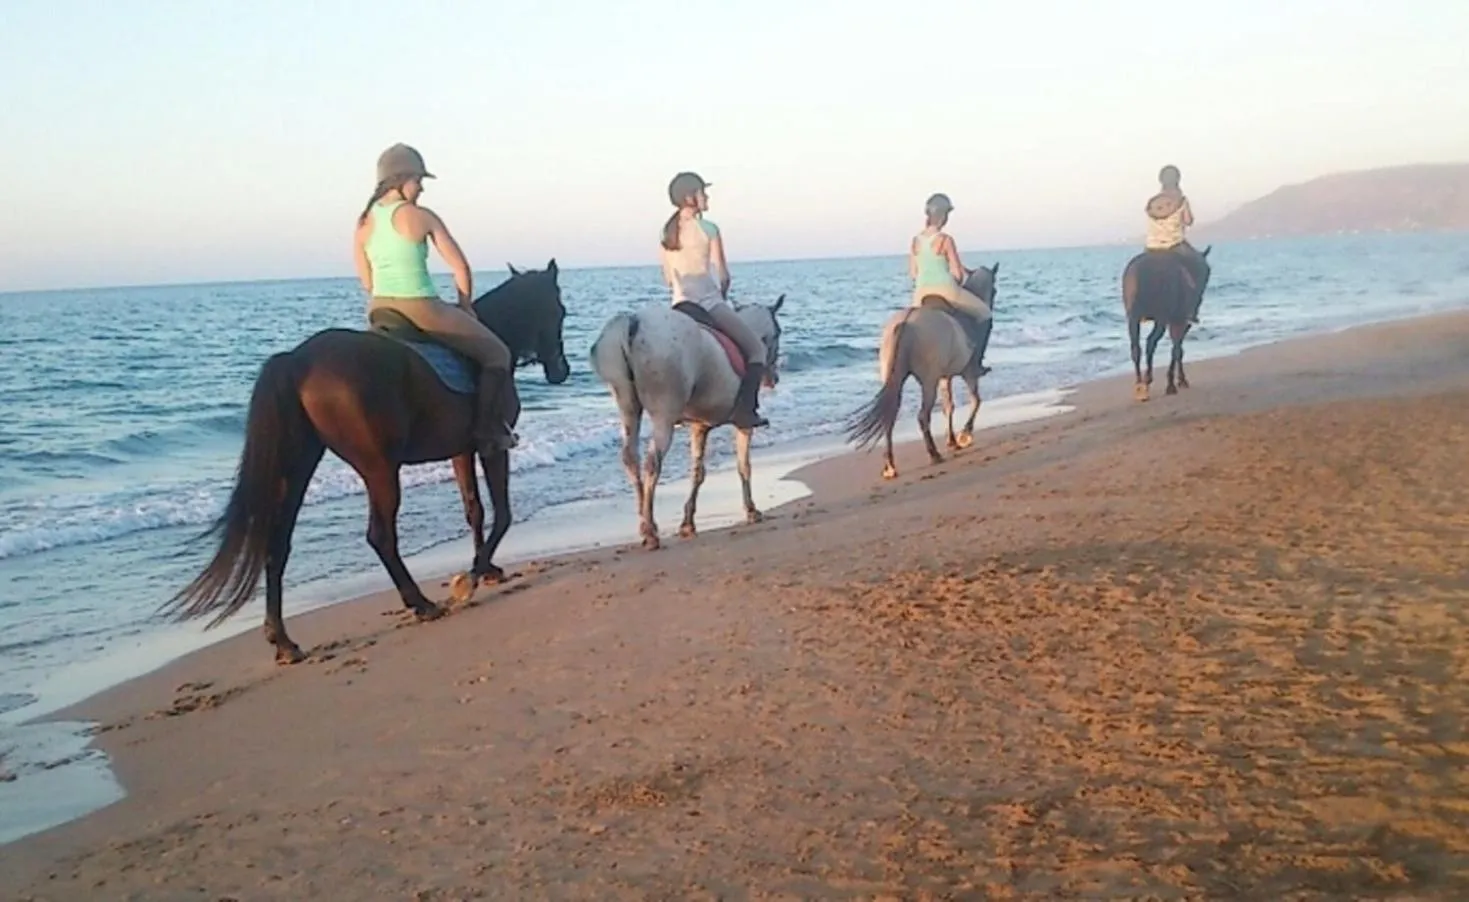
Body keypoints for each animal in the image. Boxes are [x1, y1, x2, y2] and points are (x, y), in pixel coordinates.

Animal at [161, 260, 571, 665]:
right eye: (561, 310)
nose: (561, 370)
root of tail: (298, 360)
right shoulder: (493, 447)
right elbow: (502, 513)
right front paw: (469, 578)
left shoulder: (461, 450)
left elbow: (475, 510)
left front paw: (486, 569)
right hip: (379, 469)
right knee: (380, 535)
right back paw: (420, 603)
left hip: (297, 470)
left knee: (278, 543)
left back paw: (283, 640)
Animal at [588, 296, 786, 550]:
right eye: (777, 332)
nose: (773, 379)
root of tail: (633, 322)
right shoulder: (742, 426)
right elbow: (743, 466)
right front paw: (751, 510)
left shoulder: (699, 426)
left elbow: (697, 472)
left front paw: (688, 522)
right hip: (663, 414)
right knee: (652, 463)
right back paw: (650, 531)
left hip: (627, 407)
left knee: (631, 458)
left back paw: (644, 523)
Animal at [845, 265, 999, 480]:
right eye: (994, 290)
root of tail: (906, 321)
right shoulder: (967, 374)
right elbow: (975, 401)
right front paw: (964, 435)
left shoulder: (944, 377)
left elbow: (949, 406)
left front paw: (952, 440)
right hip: (928, 382)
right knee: (922, 416)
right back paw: (933, 454)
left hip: (896, 379)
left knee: (890, 417)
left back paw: (890, 465)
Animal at [1121, 245, 1212, 400]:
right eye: (1207, 272)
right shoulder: (1180, 321)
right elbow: (1177, 350)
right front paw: (1174, 383)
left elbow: (1177, 349)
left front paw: (1178, 380)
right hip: (1161, 318)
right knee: (1150, 343)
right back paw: (1148, 378)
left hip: (1133, 318)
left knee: (1136, 348)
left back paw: (1140, 386)